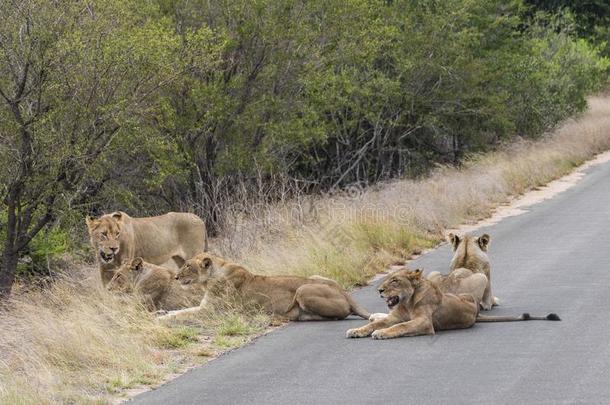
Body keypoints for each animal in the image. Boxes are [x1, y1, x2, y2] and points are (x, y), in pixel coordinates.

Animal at [157, 252, 368, 322]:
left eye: (188, 266)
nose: (175, 277)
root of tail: (346, 294)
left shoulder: (213, 311)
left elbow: (184, 314)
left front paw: (162, 319)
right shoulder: (204, 306)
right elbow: (182, 310)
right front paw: (161, 313)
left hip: (302, 289)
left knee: (339, 315)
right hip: (316, 276)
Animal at [344, 270, 560, 340]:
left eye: (395, 281)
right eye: (387, 278)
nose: (379, 290)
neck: (407, 302)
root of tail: (476, 313)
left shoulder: (425, 323)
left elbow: (402, 326)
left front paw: (381, 333)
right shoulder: (393, 316)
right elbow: (375, 323)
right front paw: (356, 330)